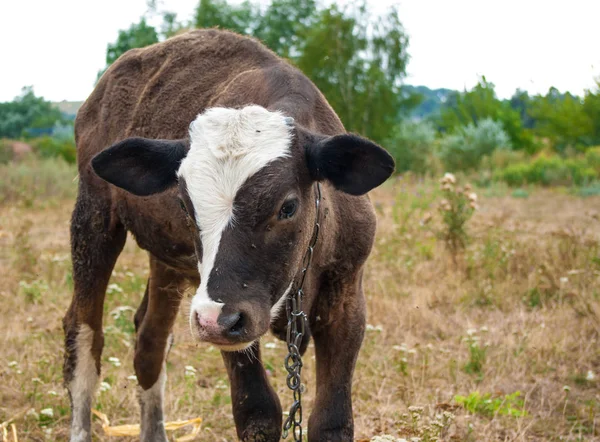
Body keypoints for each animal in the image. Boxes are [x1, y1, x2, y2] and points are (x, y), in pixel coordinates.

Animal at [63, 28, 396, 442]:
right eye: (186, 204)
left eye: (288, 207)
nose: (213, 321)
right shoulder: (226, 319)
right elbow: (258, 413)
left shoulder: (348, 298)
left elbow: (332, 421)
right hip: (93, 218)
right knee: (84, 334)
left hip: (169, 263)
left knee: (150, 340)